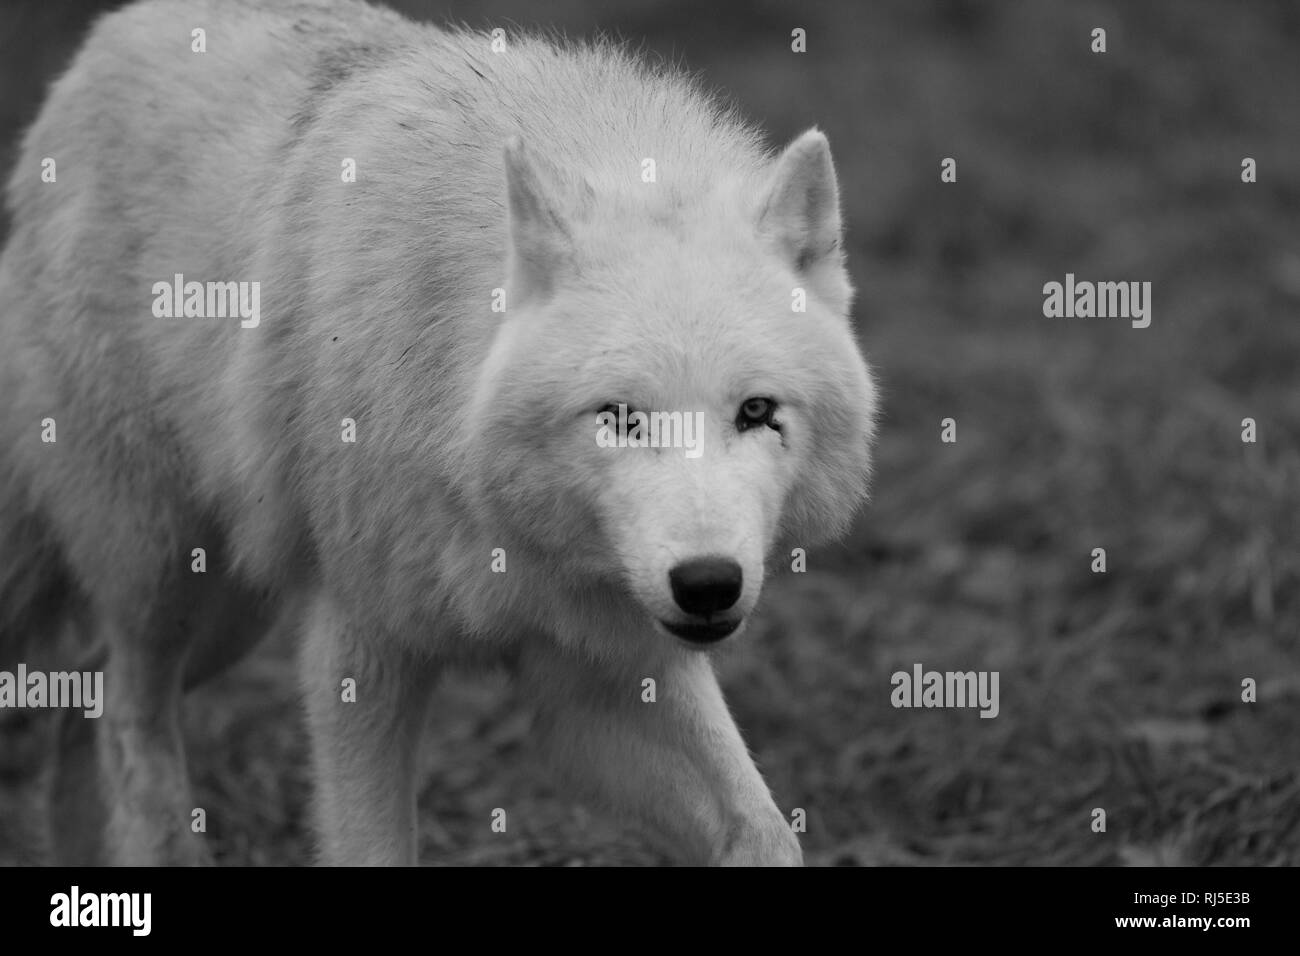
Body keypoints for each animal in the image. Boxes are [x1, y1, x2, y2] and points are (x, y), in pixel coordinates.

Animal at [0, 0, 878, 868]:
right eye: (618, 416)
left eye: (756, 412)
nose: (708, 584)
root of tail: (101, 41)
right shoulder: (359, 649)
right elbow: (371, 845)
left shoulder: (603, 673)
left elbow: (766, 833)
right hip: (165, 576)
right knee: (127, 723)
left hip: (230, 613)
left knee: (79, 703)